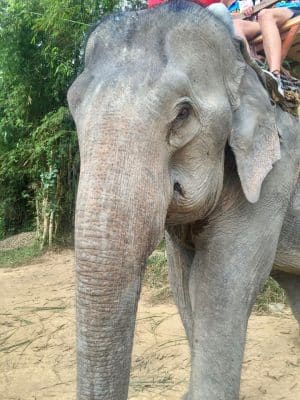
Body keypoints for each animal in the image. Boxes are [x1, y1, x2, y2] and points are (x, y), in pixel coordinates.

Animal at [67, 0, 300, 400]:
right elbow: (184, 282)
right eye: (72, 106)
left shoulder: (275, 173)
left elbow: (221, 285)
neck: (243, 65)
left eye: (183, 114)